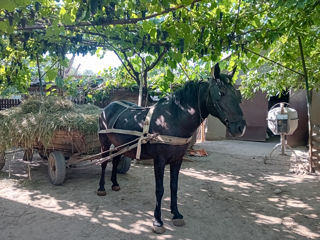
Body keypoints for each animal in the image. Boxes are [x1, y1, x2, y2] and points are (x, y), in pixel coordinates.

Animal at [96, 62, 246, 233]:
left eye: (237, 94)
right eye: (221, 92)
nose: (241, 128)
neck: (172, 119)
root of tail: (107, 108)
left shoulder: (177, 160)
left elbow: (174, 187)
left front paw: (176, 214)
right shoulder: (159, 161)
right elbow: (160, 189)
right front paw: (158, 221)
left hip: (121, 145)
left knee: (115, 161)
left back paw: (114, 184)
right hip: (104, 143)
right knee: (104, 163)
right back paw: (101, 187)